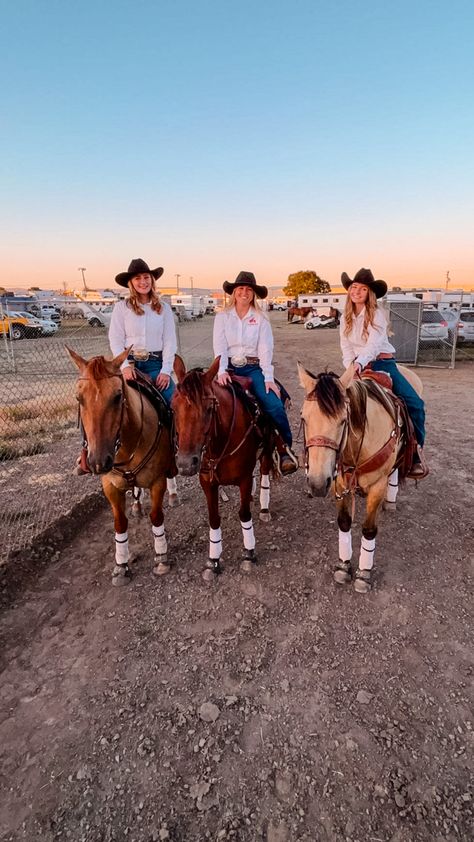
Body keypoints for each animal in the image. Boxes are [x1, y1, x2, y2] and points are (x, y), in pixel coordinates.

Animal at [67, 348, 177, 584]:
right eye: (79, 398)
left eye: (117, 396)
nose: (98, 461)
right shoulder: (110, 486)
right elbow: (120, 523)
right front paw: (121, 564)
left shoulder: (157, 482)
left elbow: (156, 516)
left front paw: (161, 557)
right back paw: (136, 505)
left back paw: (173, 495)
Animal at [172, 352, 272, 576]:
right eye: (173, 408)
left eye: (209, 408)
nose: (185, 463)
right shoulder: (208, 483)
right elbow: (214, 518)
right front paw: (214, 559)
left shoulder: (243, 479)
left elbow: (244, 514)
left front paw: (248, 553)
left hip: (267, 452)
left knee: (264, 472)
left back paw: (264, 507)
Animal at [298, 360, 424, 592]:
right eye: (303, 416)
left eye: (342, 420)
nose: (317, 484)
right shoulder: (338, 483)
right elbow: (344, 523)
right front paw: (343, 566)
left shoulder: (377, 486)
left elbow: (369, 530)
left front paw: (364, 574)